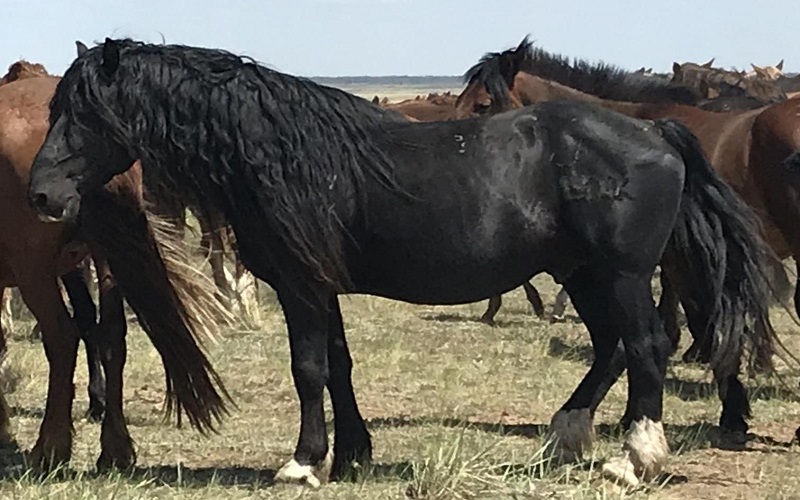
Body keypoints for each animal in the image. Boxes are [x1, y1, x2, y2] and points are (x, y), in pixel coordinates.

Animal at [1, 63, 230, 472]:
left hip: (35, 271)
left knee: (63, 336)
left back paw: (51, 448)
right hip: (107, 262)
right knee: (111, 336)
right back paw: (115, 449)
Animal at [28, 39, 772, 488]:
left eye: (83, 112)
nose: (40, 194)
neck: (278, 152)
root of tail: (656, 131)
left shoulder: (299, 285)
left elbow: (308, 369)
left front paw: (303, 463)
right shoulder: (320, 286)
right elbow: (339, 364)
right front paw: (353, 452)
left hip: (619, 276)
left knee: (646, 346)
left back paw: (632, 457)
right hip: (583, 276)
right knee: (613, 346)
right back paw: (563, 439)